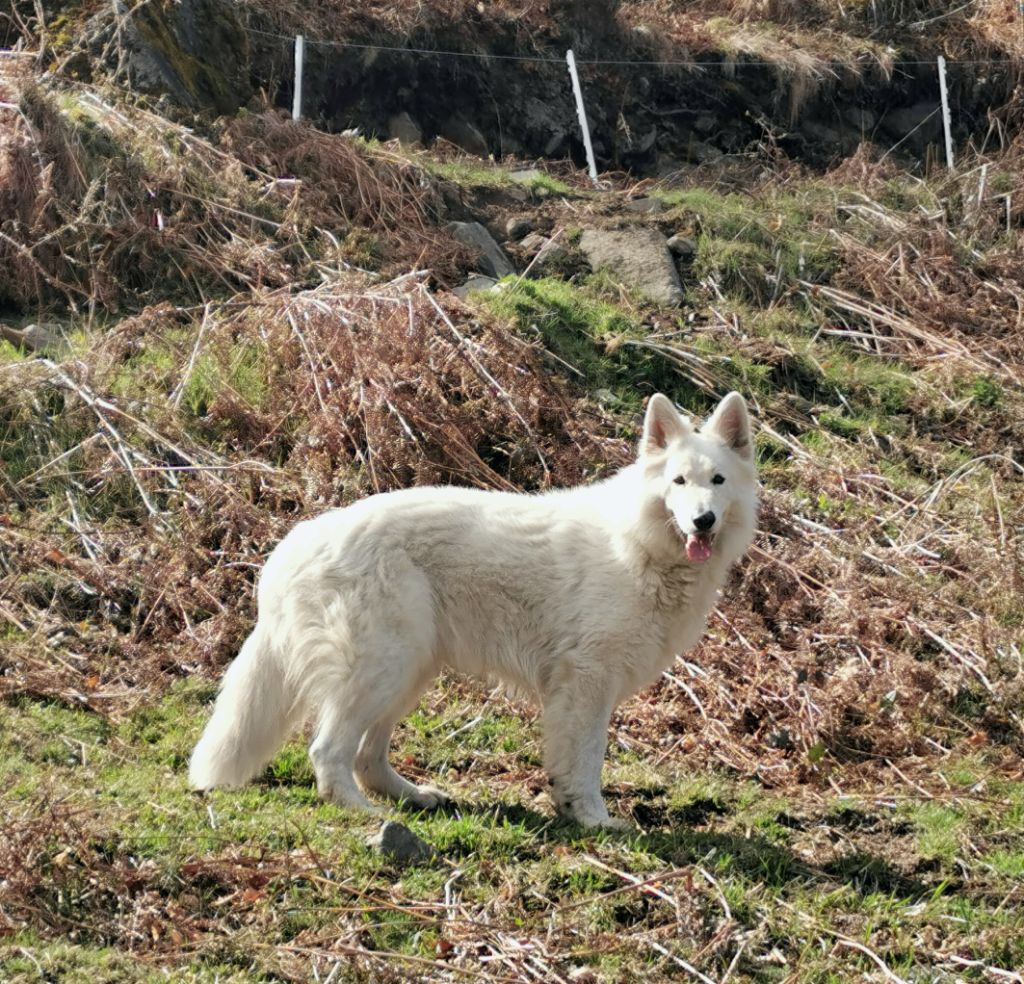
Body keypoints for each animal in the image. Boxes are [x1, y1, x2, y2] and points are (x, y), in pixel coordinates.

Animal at [190, 391, 753, 827]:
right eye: (678, 482)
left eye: (718, 481)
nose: (702, 521)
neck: (638, 543)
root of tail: (295, 543)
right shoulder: (587, 683)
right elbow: (587, 760)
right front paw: (593, 818)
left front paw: (571, 811)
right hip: (381, 670)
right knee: (328, 752)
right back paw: (365, 814)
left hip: (408, 673)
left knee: (368, 758)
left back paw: (413, 797)